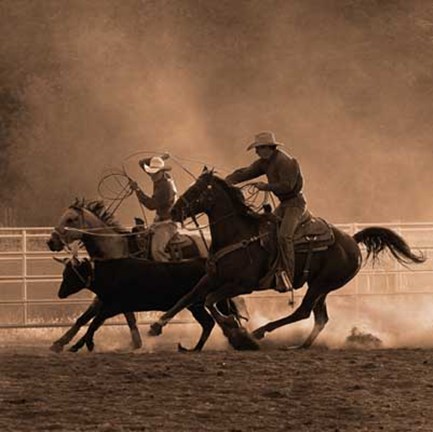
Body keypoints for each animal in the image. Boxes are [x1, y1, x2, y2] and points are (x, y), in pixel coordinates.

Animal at [149, 169, 426, 352]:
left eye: (196, 190)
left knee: (303, 311)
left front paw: (235, 331)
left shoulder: (241, 285)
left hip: (322, 284)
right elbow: (187, 297)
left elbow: (210, 301)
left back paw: (261, 332)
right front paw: (156, 326)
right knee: (320, 317)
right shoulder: (212, 276)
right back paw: (301, 345)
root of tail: (352, 240)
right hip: (320, 286)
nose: (174, 211)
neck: (238, 234)